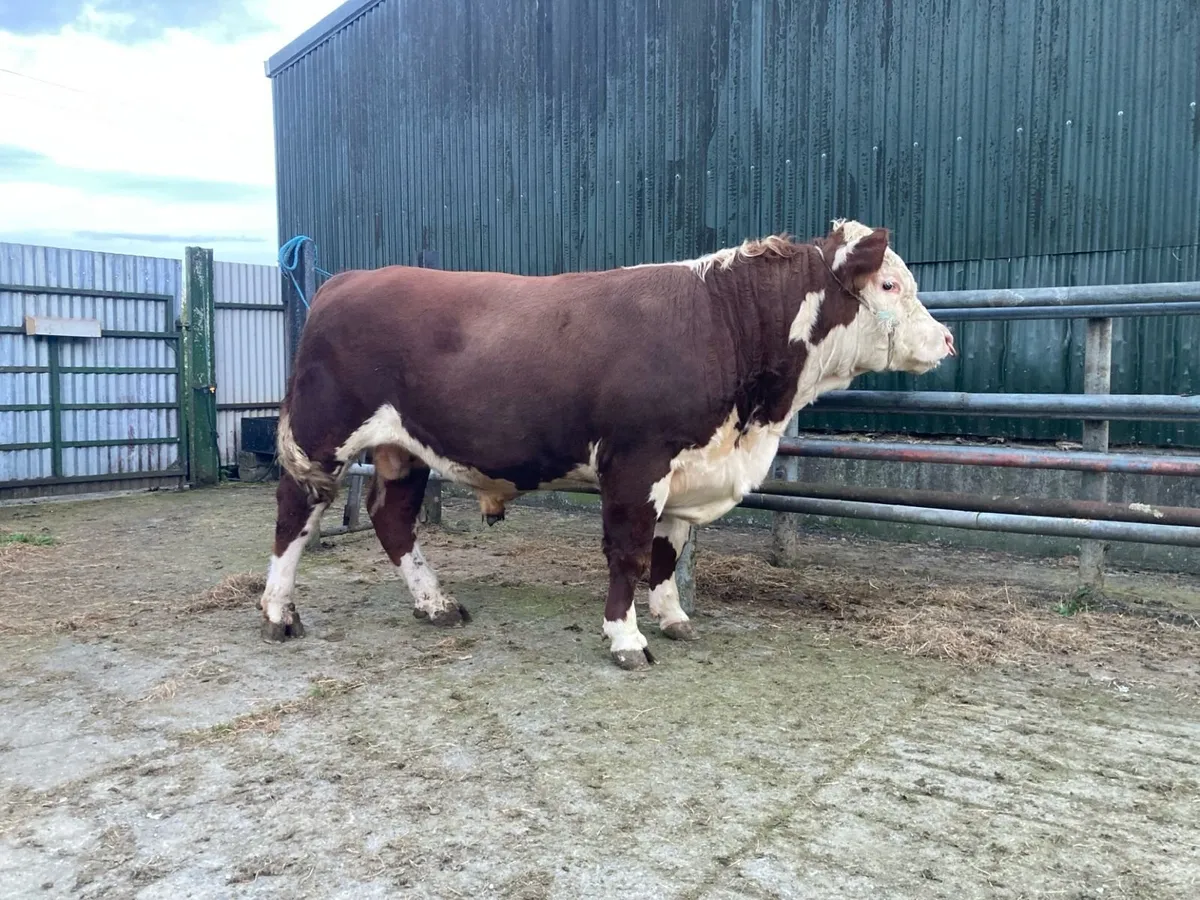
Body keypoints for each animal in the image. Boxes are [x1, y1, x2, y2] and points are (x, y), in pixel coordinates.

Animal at [258, 219, 955, 670]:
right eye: (890, 286)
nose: (947, 340)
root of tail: (344, 280)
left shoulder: (685, 469)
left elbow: (669, 552)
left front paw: (673, 620)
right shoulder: (636, 463)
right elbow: (629, 553)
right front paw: (625, 639)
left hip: (402, 450)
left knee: (392, 518)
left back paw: (436, 604)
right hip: (323, 435)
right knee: (295, 513)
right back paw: (278, 613)